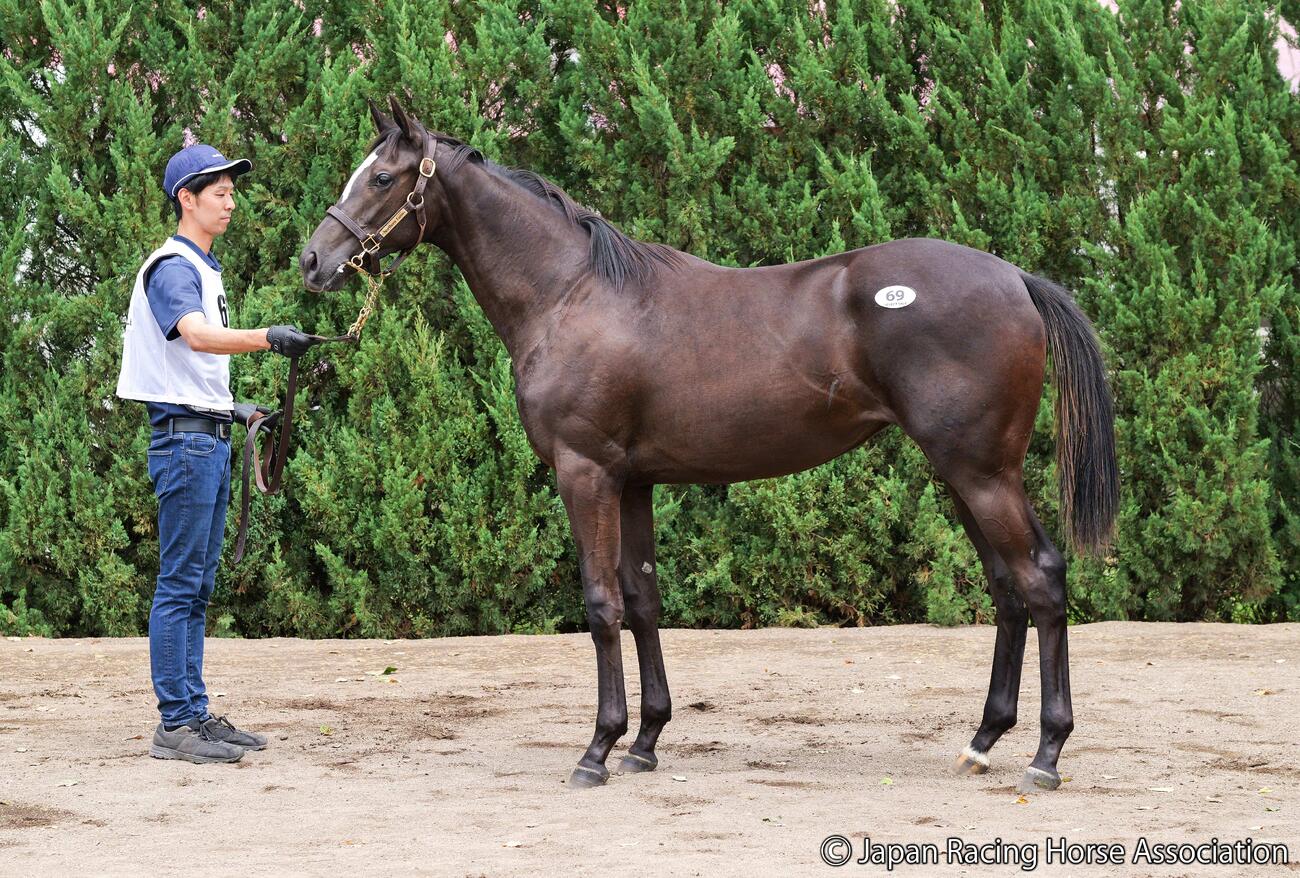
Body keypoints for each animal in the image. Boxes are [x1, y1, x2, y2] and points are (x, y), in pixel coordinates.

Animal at [300, 97, 1118, 794]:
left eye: (381, 177)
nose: (312, 261)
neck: (572, 294)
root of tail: (1014, 277)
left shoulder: (585, 474)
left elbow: (601, 604)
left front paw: (597, 750)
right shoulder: (632, 481)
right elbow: (643, 601)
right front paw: (644, 743)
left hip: (981, 473)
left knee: (1041, 579)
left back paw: (1045, 755)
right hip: (960, 474)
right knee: (1007, 590)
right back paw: (982, 742)